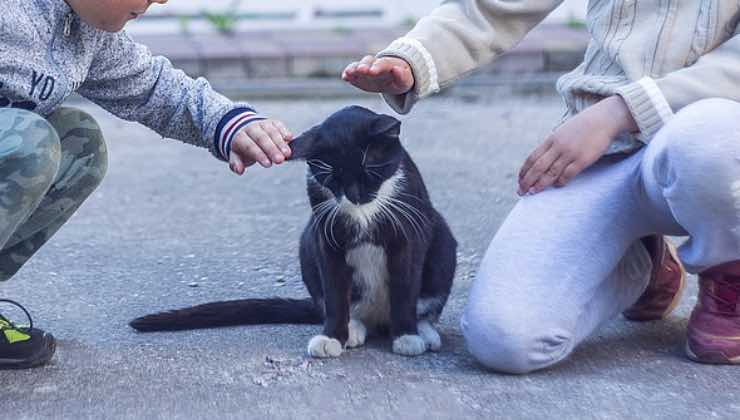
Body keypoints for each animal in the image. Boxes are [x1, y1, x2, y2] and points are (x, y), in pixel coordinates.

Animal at [130, 105, 460, 358]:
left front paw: (407, 337)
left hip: (442, 241)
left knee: (427, 300)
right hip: (307, 241)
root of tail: (379, 317)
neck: (364, 213)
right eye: (332, 177)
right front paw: (332, 337)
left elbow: (405, 286)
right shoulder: (325, 237)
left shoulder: (409, 231)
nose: (354, 196)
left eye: (369, 169)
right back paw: (353, 328)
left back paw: (424, 333)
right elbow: (335, 292)